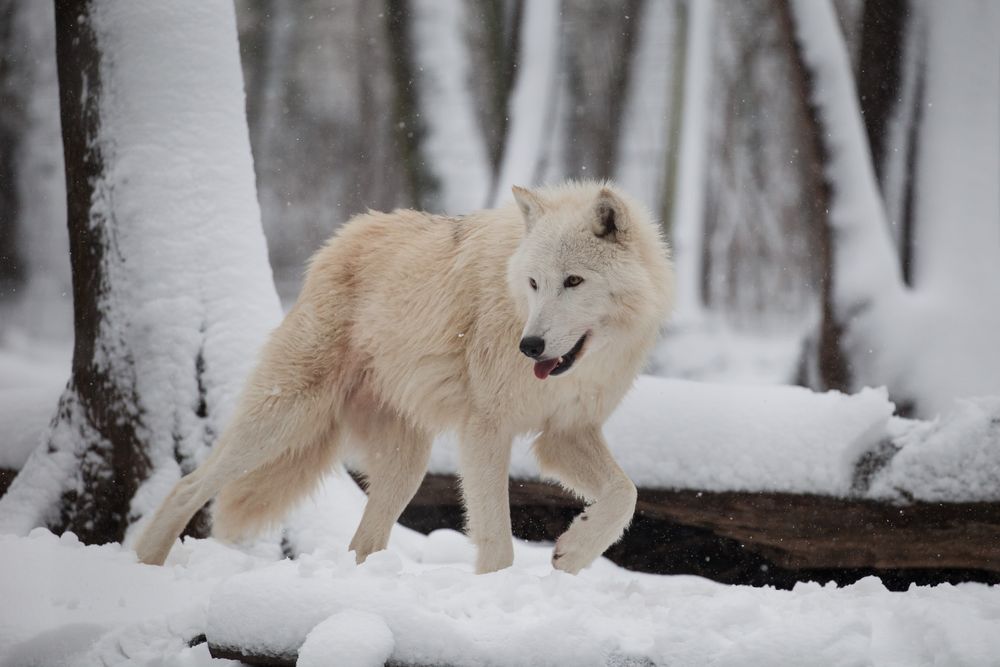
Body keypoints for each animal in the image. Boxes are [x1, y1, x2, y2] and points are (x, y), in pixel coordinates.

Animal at [135, 181, 672, 576]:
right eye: (534, 283)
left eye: (574, 281)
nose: (530, 346)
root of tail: (340, 237)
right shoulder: (486, 431)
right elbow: (497, 541)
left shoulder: (564, 433)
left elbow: (625, 495)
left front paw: (574, 551)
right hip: (283, 421)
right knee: (189, 485)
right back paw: (146, 562)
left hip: (405, 465)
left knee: (362, 542)